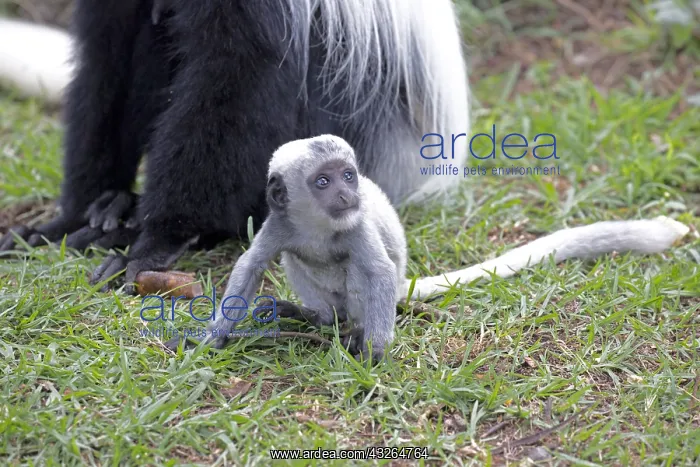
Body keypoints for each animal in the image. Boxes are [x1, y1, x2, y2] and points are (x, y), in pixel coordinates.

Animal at [166, 135, 689, 362]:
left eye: (348, 176)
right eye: (323, 182)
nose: (347, 195)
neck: (319, 224)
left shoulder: (354, 225)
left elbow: (374, 269)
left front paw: (375, 352)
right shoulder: (281, 221)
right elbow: (252, 265)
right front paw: (212, 338)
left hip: (374, 291)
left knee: (364, 277)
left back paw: (353, 331)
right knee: (301, 265)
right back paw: (314, 318)